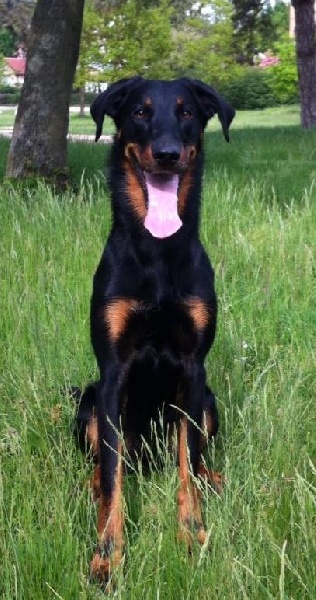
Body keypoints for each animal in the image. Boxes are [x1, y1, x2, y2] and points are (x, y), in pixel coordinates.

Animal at [74, 77, 235, 584]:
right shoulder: (111, 373)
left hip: (209, 401)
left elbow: (188, 462)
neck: (158, 251)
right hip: (88, 403)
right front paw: (108, 556)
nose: (167, 154)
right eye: (140, 112)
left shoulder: (194, 369)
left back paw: (214, 480)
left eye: (187, 113)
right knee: (106, 463)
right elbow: (112, 475)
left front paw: (193, 533)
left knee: (196, 457)